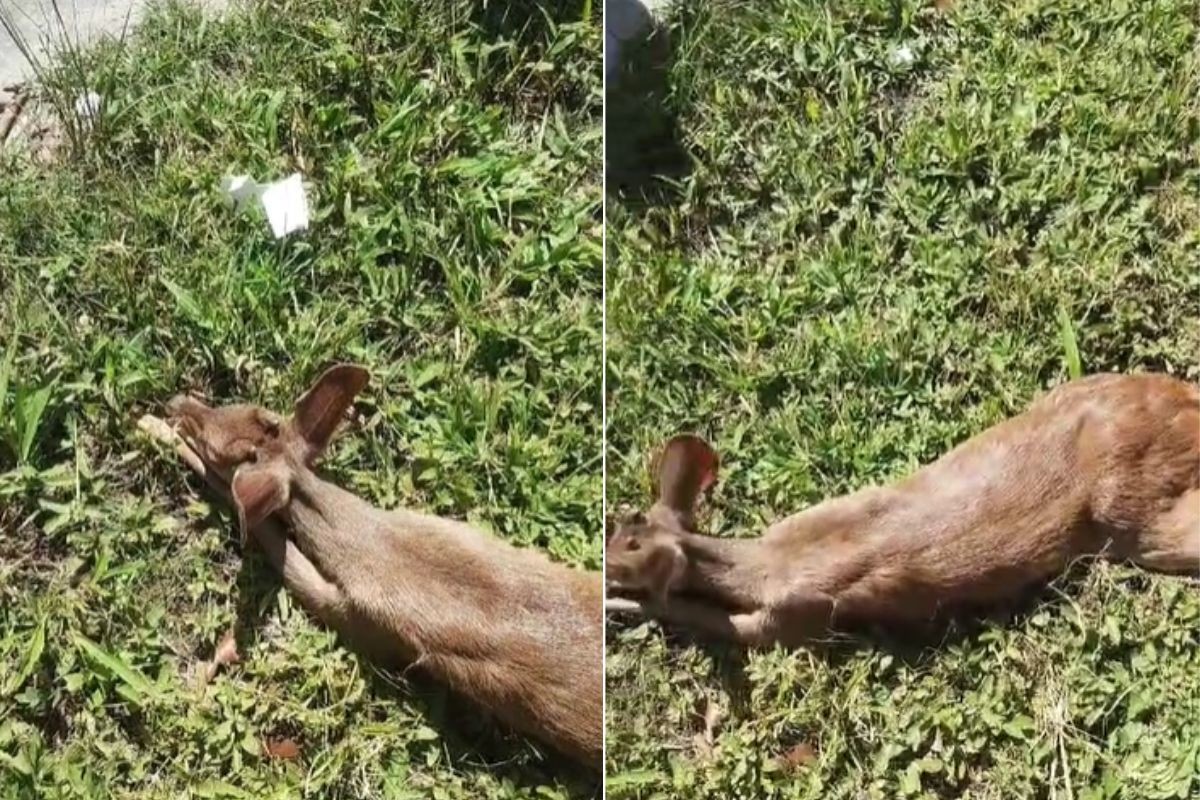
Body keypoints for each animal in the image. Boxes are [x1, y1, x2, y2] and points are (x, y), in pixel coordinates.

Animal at [157, 364, 600, 767]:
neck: (379, 546)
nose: (175, 403)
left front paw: (160, 431)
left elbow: (276, 547)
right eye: (235, 405)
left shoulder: (358, 619)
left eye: (217, 448)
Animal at [609, 371, 1200, 647]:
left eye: (631, 548)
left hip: (1132, 514)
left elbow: (719, 624)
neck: (770, 561)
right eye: (621, 523)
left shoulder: (800, 615)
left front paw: (625, 607)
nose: (607, 568)